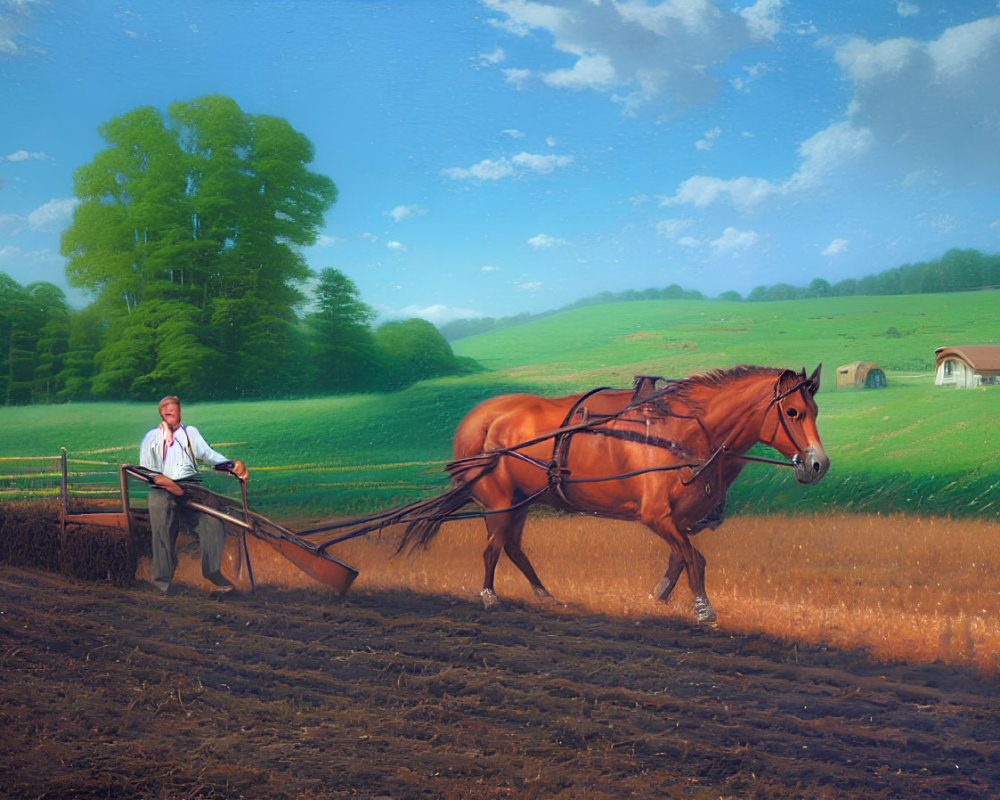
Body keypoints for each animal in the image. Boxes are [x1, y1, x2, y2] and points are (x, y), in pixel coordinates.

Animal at [398, 366, 828, 620]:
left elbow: (679, 557)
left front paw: (658, 597)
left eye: (815, 410)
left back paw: (544, 595)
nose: (818, 464)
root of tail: (478, 421)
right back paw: (489, 595)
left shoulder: (679, 520)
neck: (685, 431)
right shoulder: (656, 516)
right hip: (499, 502)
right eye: (792, 412)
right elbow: (695, 558)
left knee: (512, 548)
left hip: (521, 502)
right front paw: (703, 608)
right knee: (492, 549)